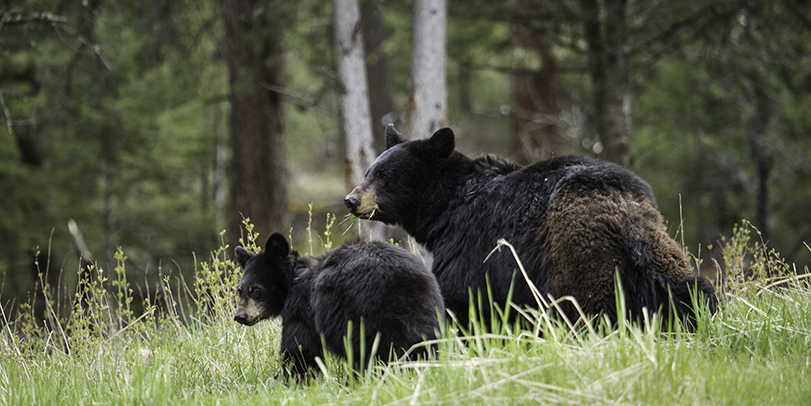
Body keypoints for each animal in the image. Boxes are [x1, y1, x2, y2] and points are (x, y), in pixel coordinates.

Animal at [233, 232, 443, 379]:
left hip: (363, 315)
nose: (240, 316)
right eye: (239, 289)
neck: (294, 278)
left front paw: (288, 379)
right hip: (427, 313)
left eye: (256, 289)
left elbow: (300, 347)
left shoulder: (303, 305)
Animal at [344, 124, 718, 329]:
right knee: (690, 290)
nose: (351, 200)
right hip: (660, 253)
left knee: (585, 306)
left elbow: (461, 298)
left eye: (384, 176)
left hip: (578, 254)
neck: (446, 207)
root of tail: (625, 216)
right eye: (369, 171)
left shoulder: (470, 246)